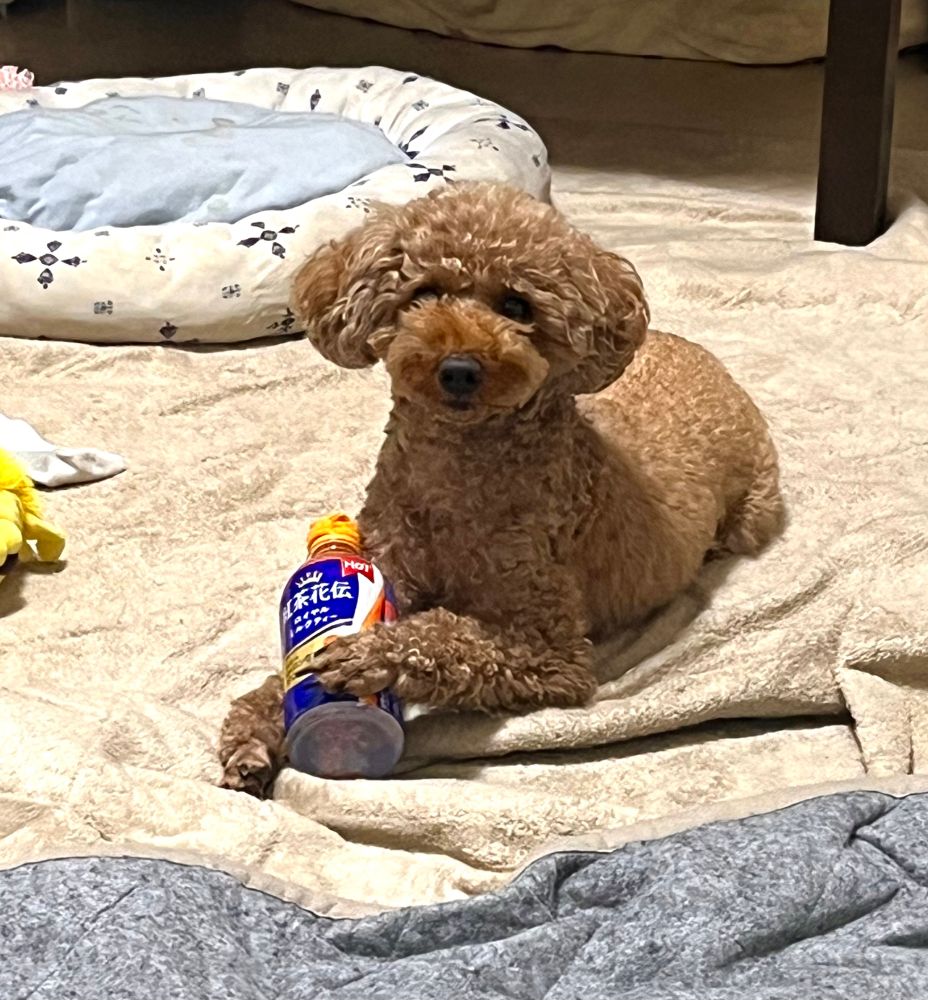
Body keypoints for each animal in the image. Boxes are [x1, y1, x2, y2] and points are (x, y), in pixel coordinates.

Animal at [219, 182, 783, 796]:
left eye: (516, 306)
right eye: (424, 293)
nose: (459, 369)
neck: (456, 476)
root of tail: (702, 353)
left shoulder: (552, 653)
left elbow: (448, 640)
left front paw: (368, 655)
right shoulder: (386, 566)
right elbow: (286, 673)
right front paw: (253, 736)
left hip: (754, 509)